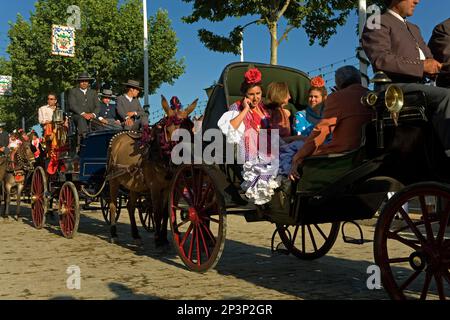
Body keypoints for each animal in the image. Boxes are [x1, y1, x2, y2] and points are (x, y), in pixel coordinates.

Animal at [107, 95, 199, 245]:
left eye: (190, 129)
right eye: (168, 130)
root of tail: (117, 138)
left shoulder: (168, 188)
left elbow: (166, 212)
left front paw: (164, 238)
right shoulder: (154, 187)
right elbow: (157, 211)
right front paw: (158, 239)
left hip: (134, 185)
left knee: (131, 206)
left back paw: (135, 234)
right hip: (113, 180)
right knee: (113, 204)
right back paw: (114, 233)